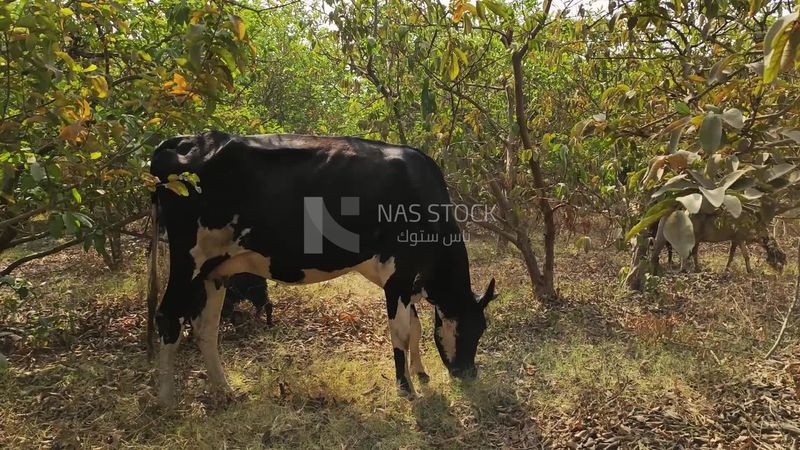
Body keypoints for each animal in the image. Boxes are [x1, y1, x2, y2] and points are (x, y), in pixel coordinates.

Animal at [145, 131, 494, 408]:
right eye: (469, 329)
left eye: (482, 328)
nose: (469, 373)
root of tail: (182, 140)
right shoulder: (399, 273)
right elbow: (402, 332)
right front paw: (405, 387)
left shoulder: (403, 279)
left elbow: (416, 327)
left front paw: (420, 373)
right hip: (189, 259)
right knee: (169, 317)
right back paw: (166, 401)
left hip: (216, 271)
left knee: (205, 328)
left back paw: (226, 390)